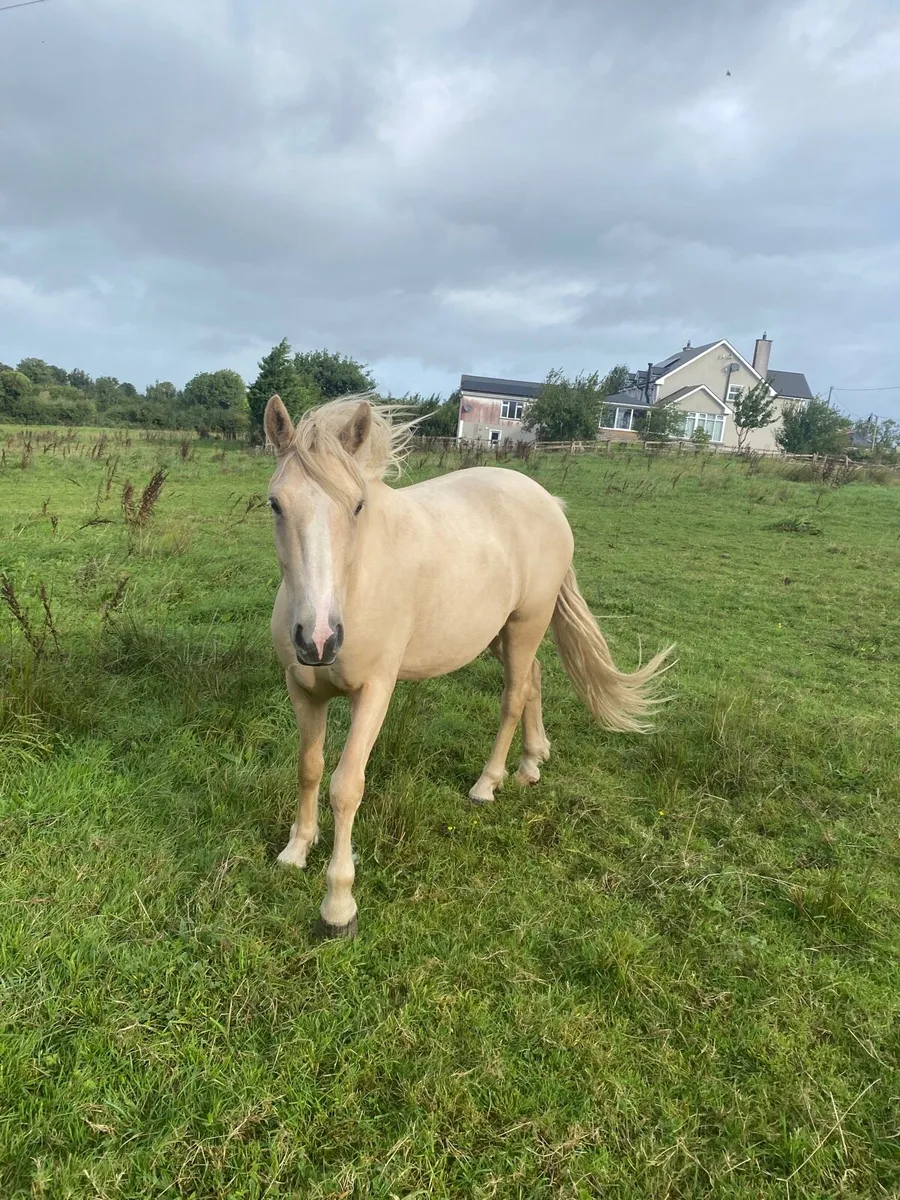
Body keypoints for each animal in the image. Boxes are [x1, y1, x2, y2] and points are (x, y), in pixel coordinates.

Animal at [263, 393, 673, 938]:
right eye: (275, 503)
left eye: (357, 505)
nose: (319, 639)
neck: (352, 586)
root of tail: (548, 501)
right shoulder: (303, 689)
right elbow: (309, 769)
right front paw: (296, 850)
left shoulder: (374, 692)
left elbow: (346, 787)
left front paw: (338, 905)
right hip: (498, 632)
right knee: (535, 680)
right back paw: (531, 763)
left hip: (525, 625)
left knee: (514, 695)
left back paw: (488, 784)